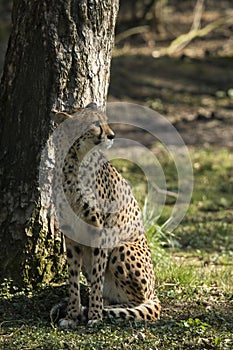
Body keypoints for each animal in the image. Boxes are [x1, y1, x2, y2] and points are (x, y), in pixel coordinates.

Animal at [51, 102, 161, 326]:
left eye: (106, 121)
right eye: (95, 124)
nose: (112, 135)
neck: (74, 163)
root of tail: (154, 291)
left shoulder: (101, 231)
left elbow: (97, 278)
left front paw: (94, 316)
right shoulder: (72, 235)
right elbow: (73, 279)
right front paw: (72, 315)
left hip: (122, 247)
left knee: (139, 301)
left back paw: (105, 310)